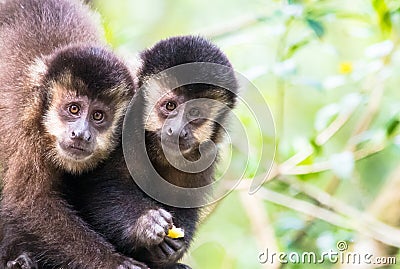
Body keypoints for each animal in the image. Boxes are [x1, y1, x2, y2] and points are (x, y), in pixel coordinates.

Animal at [0, 0, 147, 268]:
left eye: (98, 116)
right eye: (74, 109)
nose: (80, 134)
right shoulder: (26, 128)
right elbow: (28, 204)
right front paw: (116, 262)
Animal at [59, 34, 238, 266]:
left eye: (195, 112)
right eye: (170, 106)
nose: (177, 130)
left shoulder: (204, 154)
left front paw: (174, 248)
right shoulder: (122, 130)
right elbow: (98, 190)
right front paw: (145, 223)